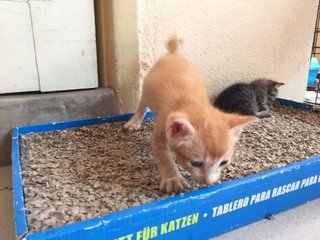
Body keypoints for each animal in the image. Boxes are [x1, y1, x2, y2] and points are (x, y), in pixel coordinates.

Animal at [124, 35, 258, 193]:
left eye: (224, 162)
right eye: (195, 163)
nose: (207, 182)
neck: (193, 104)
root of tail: (173, 53)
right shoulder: (162, 125)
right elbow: (163, 156)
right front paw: (172, 178)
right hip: (147, 90)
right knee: (142, 107)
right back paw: (134, 122)